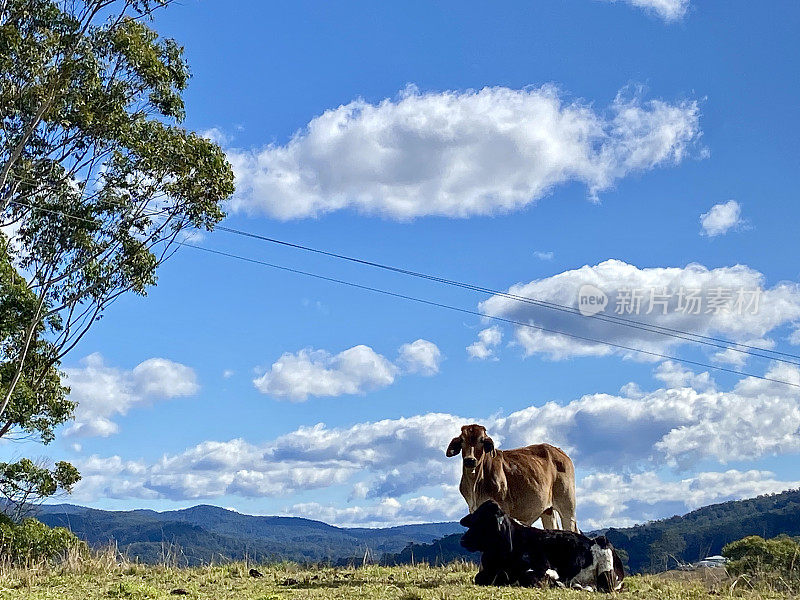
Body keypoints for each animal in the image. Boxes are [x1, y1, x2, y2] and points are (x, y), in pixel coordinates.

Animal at [446, 424, 580, 532]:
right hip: (547, 510)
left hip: (568, 506)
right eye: (462, 440)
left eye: (482, 440)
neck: (475, 483)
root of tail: (560, 452)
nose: (470, 460)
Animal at [460, 502, 620, 592]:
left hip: (607, 571)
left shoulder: (543, 568)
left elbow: (530, 577)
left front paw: (555, 582)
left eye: (484, 521)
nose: (463, 540)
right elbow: (478, 578)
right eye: (473, 518)